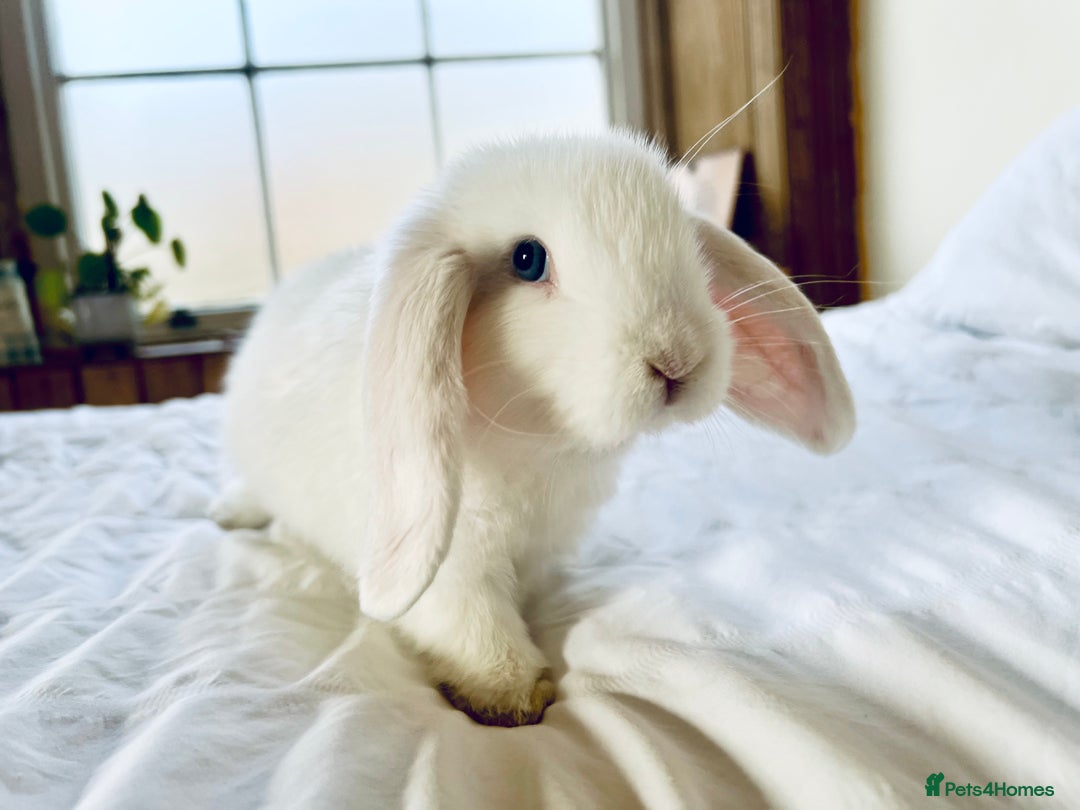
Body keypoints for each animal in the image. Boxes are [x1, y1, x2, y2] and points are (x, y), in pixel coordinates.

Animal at [211, 131, 855, 727]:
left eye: (688, 244)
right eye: (527, 260)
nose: (677, 360)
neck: (540, 442)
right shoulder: (456, 566)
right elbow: (471, 624)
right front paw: (509, 694)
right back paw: (231, 515)